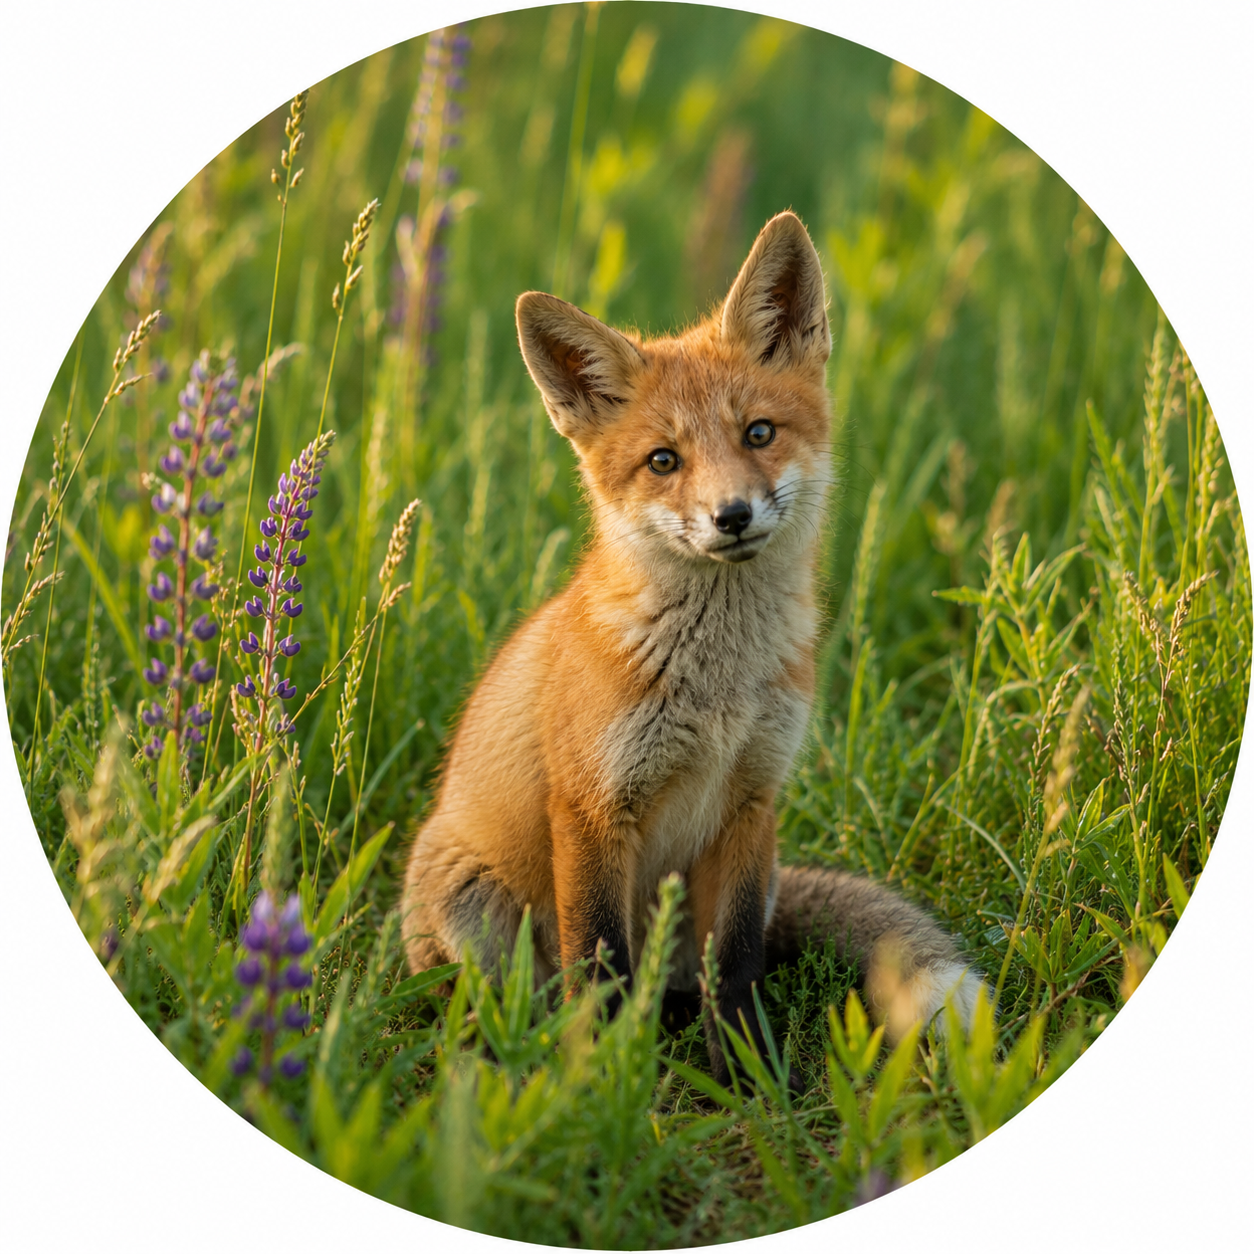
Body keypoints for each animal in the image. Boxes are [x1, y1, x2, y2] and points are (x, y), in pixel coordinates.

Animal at [401, 211, 985, 1087]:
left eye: (759, 433)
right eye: (663, 461)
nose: (732, 515)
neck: (719, 687)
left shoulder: (750, 800)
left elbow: (735, 964)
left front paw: (749, 1076)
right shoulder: (593, 811)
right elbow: (598, 965)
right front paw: (603, 1081)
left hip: (755, 881)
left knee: (689, 978)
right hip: (470, 910)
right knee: (511, 998)